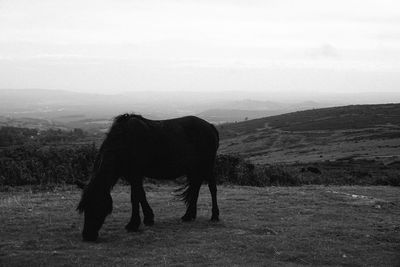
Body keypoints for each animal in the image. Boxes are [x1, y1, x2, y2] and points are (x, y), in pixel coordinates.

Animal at [76, 115, 220, 243]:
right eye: (84, 207)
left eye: (96, 206)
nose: (87, 236)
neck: (124, 140)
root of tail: (210, 126)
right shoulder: (132, 176)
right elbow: (139, 196)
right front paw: (146, 219)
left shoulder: (136, 175)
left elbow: (136, 197)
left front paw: (134, 224)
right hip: (193, 169)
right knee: (195, 188)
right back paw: (188, 215)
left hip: (206, 166)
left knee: (212, 187)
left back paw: (214, 216)